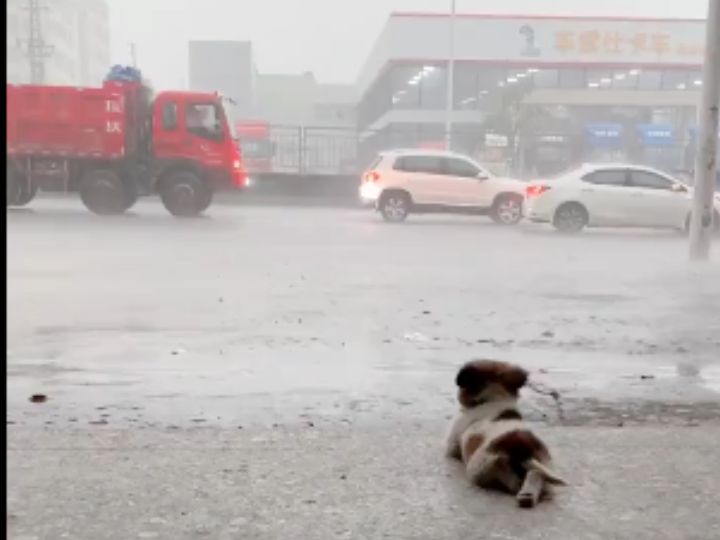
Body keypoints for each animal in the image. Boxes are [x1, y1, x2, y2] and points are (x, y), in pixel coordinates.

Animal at [444, 360, 568, 508]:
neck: (495, 398)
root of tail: (524, 450)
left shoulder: (452, 444)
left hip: (479, 466)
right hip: (546, 464)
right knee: (536, 475)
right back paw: (527, 495)